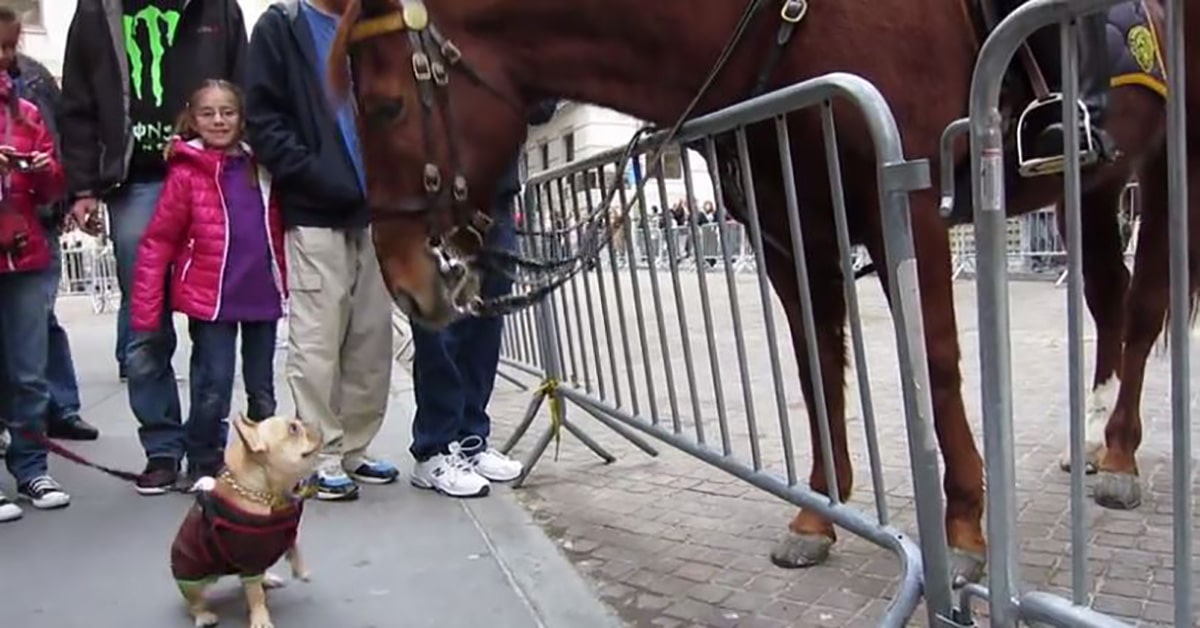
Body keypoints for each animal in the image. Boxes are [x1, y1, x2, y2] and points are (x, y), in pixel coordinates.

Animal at [166, 415, 324, 624]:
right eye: (293, 429)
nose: (311, 421)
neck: (271, 496)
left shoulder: (287, 530)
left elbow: (294, 545)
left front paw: (301, 570)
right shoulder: (251, 559)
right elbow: (256, 595)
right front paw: (261, 619)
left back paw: (267, 578)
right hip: (191, 579)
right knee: (196, 603)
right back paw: (203, 616)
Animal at [324, 0, 1195, 583]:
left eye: (386, 106)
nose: (405, 283)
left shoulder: (908, 200)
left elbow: (938, 361)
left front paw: (964, 530)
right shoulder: (789, 230)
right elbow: (815, 367)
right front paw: (819, 513)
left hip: (1165, 171)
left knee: (1146, 304)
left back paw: (1121, 453)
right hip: (1088, 188)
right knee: (1108, 300)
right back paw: (1095, 437)